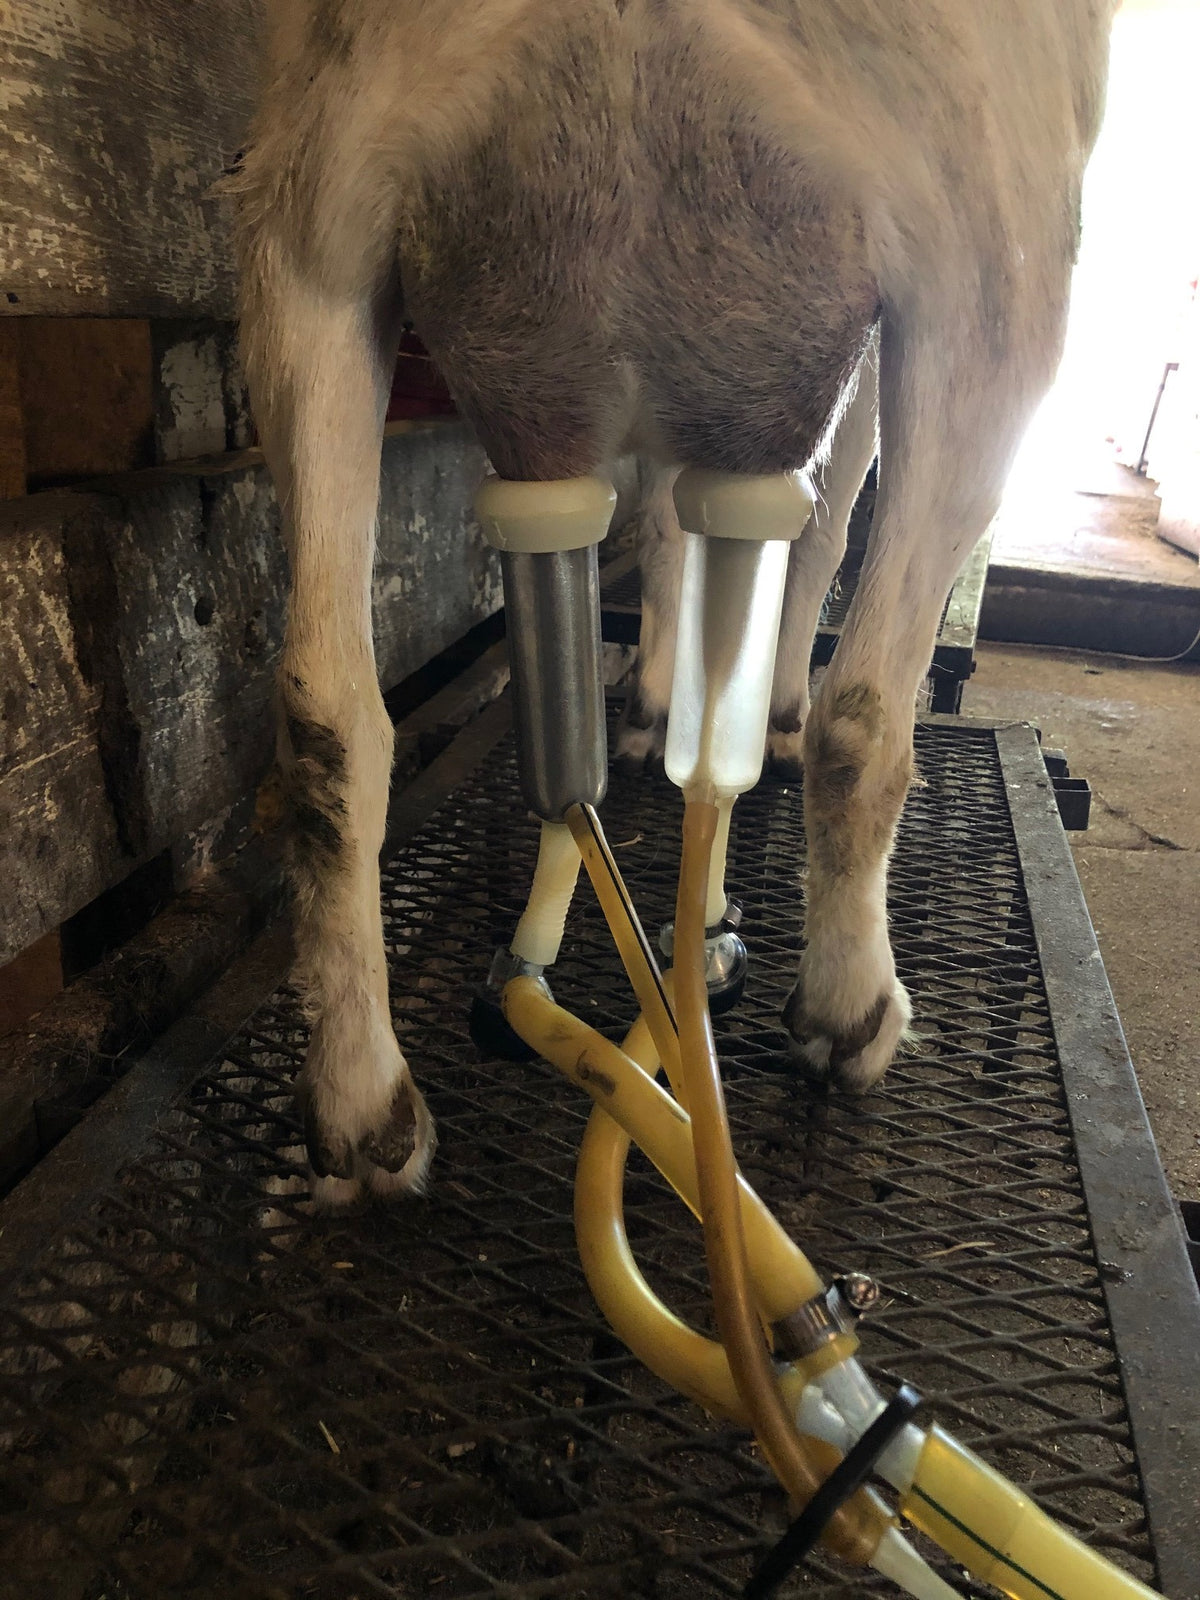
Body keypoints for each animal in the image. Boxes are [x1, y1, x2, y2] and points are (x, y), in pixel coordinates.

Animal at [232, 0, 1114, 1206]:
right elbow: (826, 533)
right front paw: (767, 718)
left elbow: (677, 537)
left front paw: (667, 708)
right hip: (994, 265)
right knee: (863, 706)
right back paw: (848, 1004)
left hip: (312, 241)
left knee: (328, 715)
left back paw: (360, 1102)